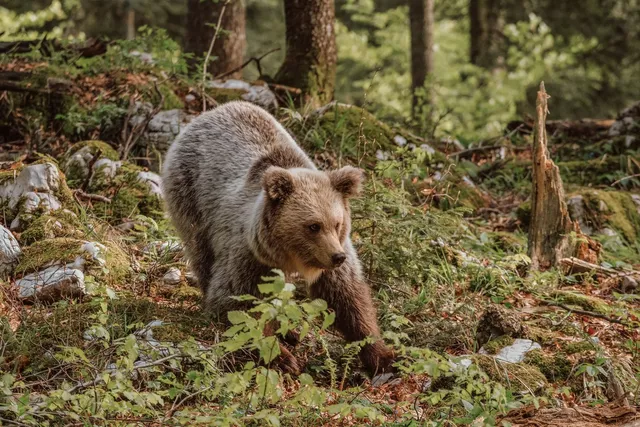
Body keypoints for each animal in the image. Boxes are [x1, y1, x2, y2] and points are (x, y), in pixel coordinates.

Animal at [161, 100, 396, 374]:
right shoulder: (249, 255)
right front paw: (282, 358)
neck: (290, 257)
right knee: (202, 253)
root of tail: (210, 113)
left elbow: (348, 298)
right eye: (313, 226)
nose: (337, 257)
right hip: (190, 196)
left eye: (337, 223)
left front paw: (383, 356)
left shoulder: (333, 258)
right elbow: (236, 301)